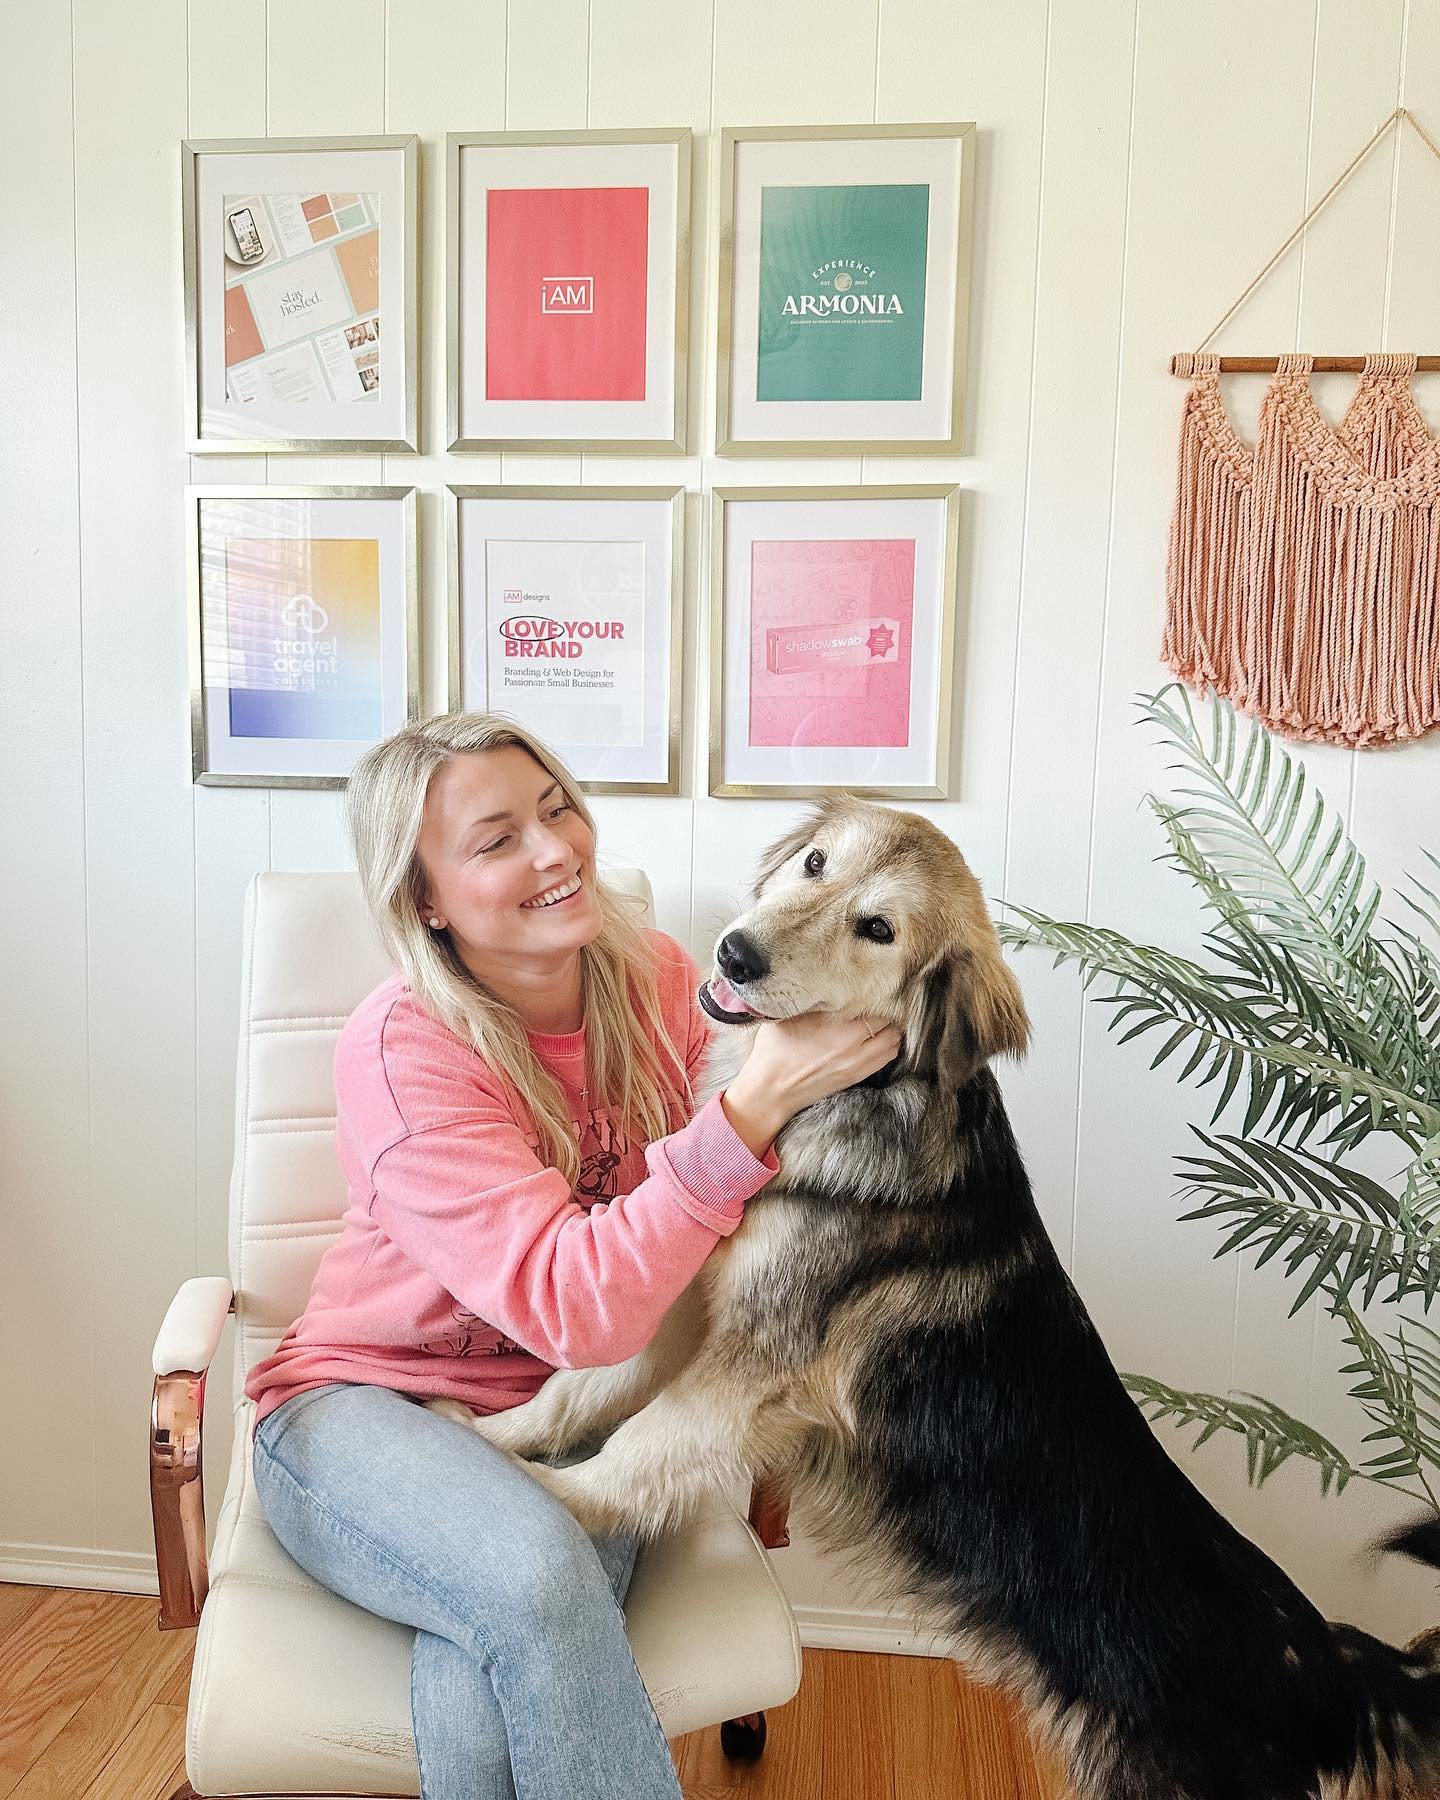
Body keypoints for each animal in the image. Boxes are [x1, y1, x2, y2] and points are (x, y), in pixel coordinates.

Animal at [428, 802, 1440, 1800]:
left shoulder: (755, 1363)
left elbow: (639, 1446)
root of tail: (1339, 1669)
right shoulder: (684, 1302)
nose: (736, 954)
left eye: (877, 929)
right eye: (815, 863)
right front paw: (488, 1436)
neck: (849, 1101)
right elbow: (578, 1389)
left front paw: (545, 1494)